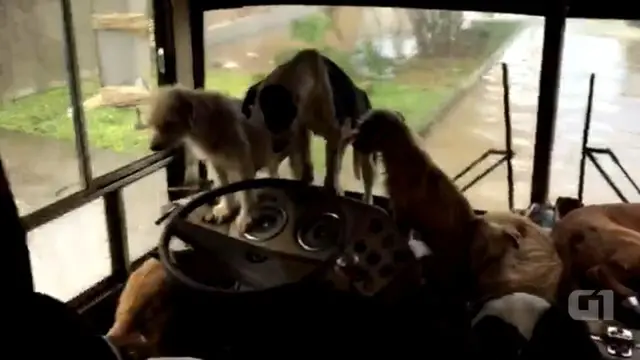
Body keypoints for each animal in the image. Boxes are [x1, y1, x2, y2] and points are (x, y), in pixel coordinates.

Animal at [148, 86, 288, 233]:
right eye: (153, 124)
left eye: (170, 123)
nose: (152, 147)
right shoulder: (217, 164)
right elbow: (225, 188)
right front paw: (226, 208)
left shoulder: (242, 165)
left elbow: (246, 194)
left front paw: (245, 217)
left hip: (266, 153)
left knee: (272, 169)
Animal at [242, 49, 378, 204]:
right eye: (260, 113)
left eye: (280, 114)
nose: (275, 147)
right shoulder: (302, 129)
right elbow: (306, 158)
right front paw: (306, 180)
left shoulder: (334, 132)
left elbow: (331, 164)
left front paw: (331, 189)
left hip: (364, 149)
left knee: (367, 175)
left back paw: (366, 199)